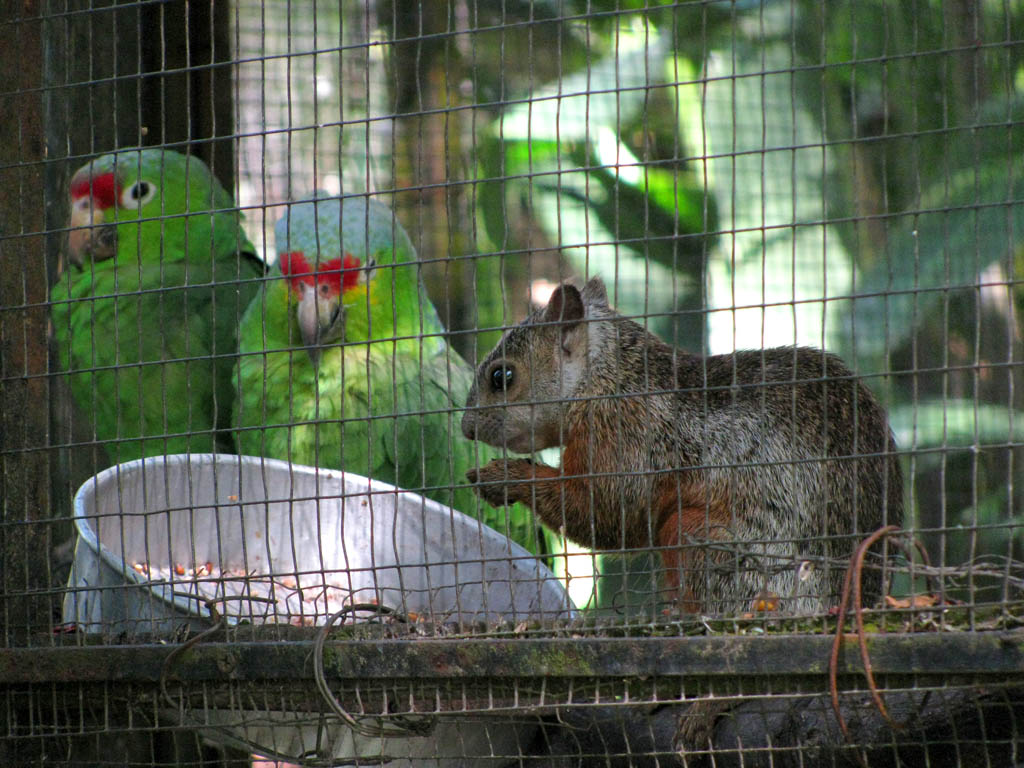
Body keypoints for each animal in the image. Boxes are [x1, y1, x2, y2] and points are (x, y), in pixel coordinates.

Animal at [464, 274, 905, 614]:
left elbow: (604, 511)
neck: (607, 378)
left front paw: (505, 475)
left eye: (502, 377)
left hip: (711, 543)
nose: (467, 428)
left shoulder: (624, 433)